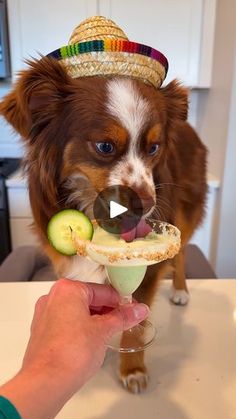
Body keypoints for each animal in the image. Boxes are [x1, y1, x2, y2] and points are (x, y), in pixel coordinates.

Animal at [0, 57, 206, 396]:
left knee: (182, 252)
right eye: (105, 146)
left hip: (187, 211)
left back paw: (180, 290)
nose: (146, 204)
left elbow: (134, 324)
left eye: (154, 148)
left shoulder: (148, 268)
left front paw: (132, 367)